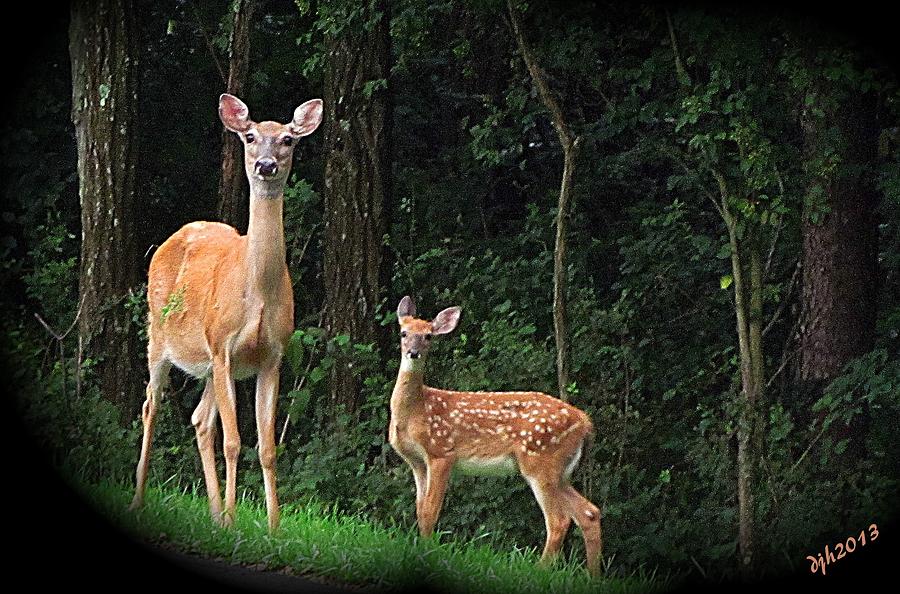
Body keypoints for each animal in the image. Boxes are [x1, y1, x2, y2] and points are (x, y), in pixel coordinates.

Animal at [128, 93, 322, 532]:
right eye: (250, 136)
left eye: (288, 139)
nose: (265, 165)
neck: (258, 293)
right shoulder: (223, 345)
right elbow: (233, 442)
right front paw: (236, 519)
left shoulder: (271, 356)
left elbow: (266, 447)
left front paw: (272, 526)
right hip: (160, 338)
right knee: (151, 405)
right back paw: (140, 498)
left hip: (210, 365)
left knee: (200, 420)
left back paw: (214, 514)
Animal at [388, 296, 604, 572]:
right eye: (403, 333)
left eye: (428, 336)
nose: (413, 352)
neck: (417, 411)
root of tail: (585, 422)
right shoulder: (416, 462)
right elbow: (419, 510)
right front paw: (421, 549)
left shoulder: (442, 452)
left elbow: (430, 510)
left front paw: (428, 552)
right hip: (560, 471)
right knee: (589, 512)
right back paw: (592, 575)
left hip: (540, 461)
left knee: (559, 520)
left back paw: (539, 570)